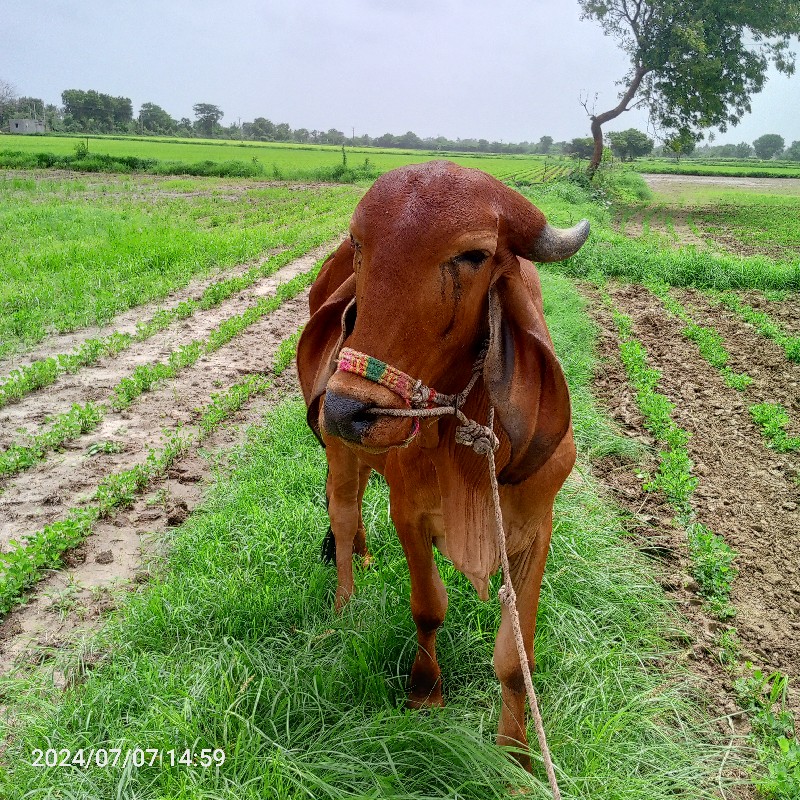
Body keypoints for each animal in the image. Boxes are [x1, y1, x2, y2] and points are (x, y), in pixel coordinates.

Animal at [294, 158, 588, 768]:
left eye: (473, 255)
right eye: (360, 245)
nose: (347, 409)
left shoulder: (536, 529)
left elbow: (515, 658)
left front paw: (517, 757)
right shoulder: (410, 513)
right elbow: (428, 607)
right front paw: (425, 694)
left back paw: (364, 557)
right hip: (340, 456)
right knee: (343, 514)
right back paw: (343, 604)